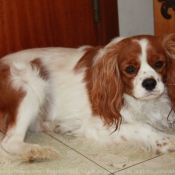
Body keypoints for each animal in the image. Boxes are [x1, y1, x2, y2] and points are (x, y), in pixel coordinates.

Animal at [0, 34, 175, 163]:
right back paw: (37, 150)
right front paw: (167, 140)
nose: (150, 83)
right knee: (9, 141)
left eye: (159, 63)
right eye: (130, 69)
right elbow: (141, 126)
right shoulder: (96, 126)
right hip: (30, 86)